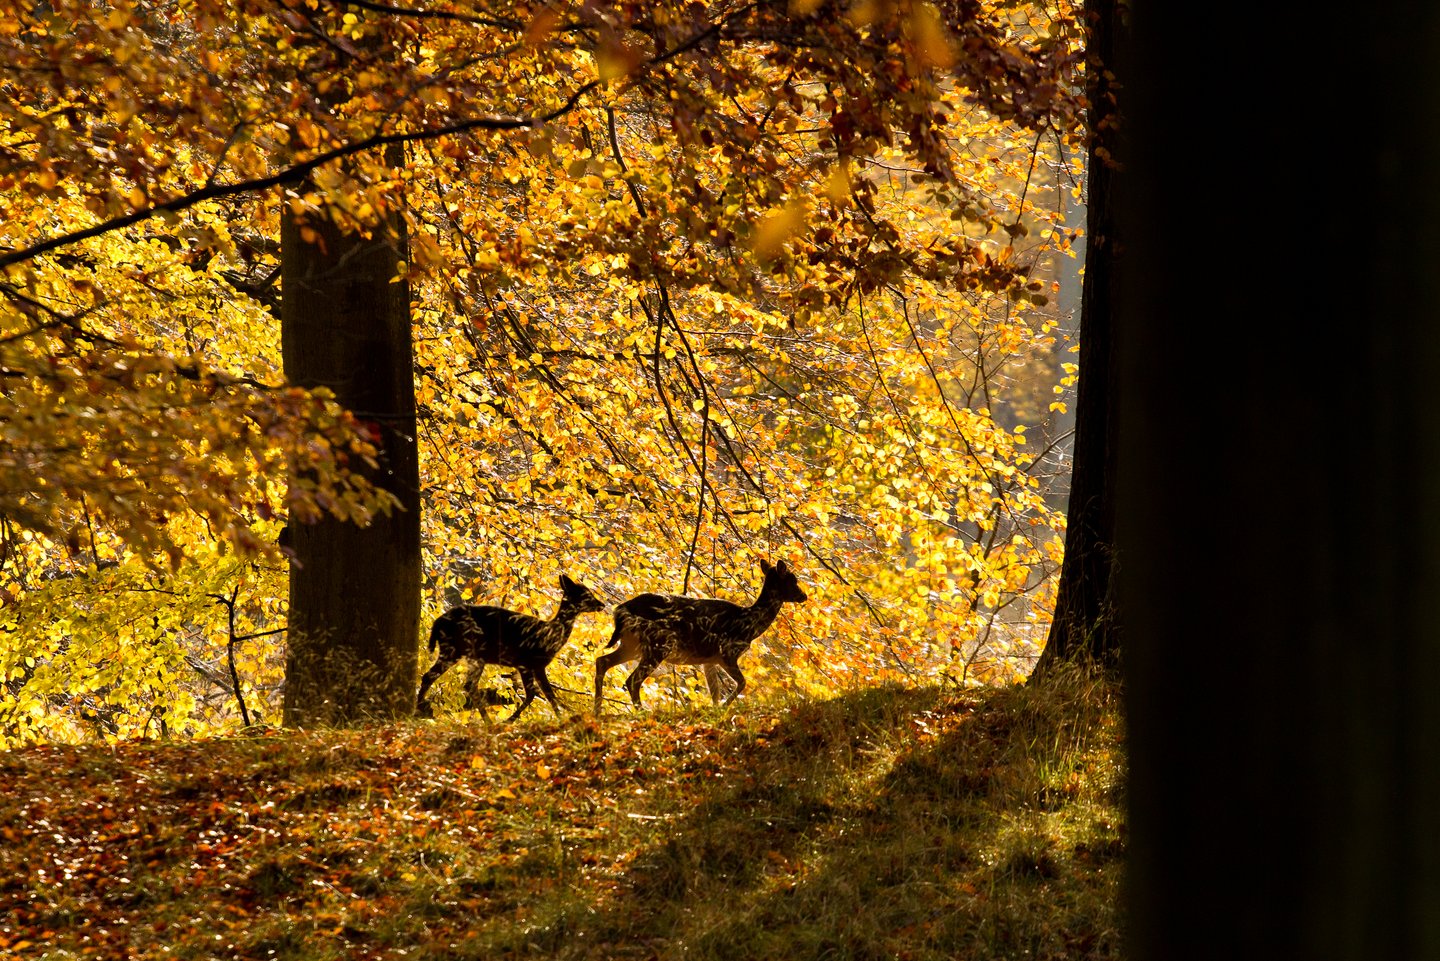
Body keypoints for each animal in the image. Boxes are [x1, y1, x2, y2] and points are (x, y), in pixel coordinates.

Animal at [414, 570, 604, 720]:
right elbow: (539, 694)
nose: (601, 604)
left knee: (465, 685)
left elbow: (544, 694)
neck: (551, 634)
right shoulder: (531, 662)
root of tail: (438, 623)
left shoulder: (529, 665)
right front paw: (511, 720)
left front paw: (560, 717)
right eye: (586, 594)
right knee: (435, 677)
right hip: (458, 648)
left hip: (468, 654)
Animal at [590, 556, 806, 714]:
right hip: (658, 643)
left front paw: (716, 710)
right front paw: (725, 708)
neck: (749, 624)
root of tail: (620, 610)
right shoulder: (727, 651)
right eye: (793, 580)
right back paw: (641, 712)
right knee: (632, 679)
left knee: (602, 661)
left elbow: (715, 691)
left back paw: (598, 710)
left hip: (631, 644)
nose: (804, 596)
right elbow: (742, 683)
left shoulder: (709, 659)